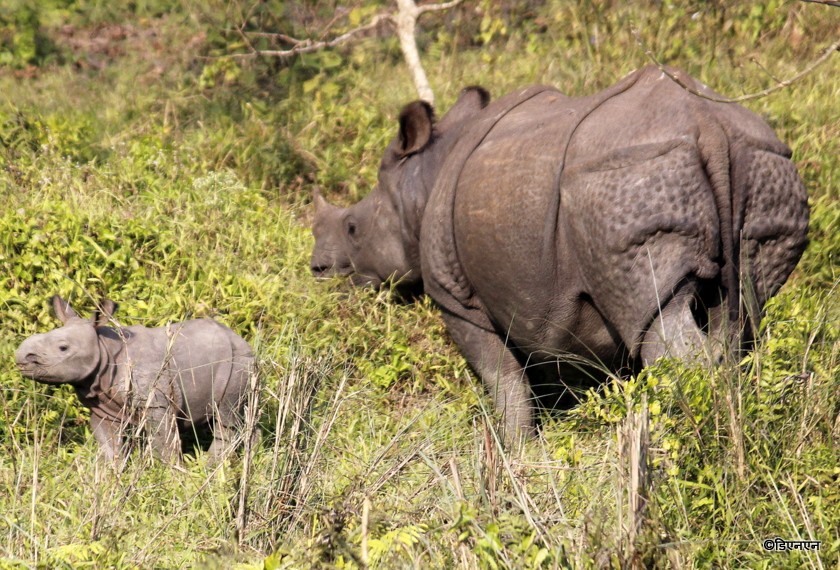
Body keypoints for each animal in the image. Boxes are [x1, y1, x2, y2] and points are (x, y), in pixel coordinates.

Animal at [15, 296, 254, 463]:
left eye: (63, 348)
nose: (21, 357)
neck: (104, 349)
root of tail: (242, 340)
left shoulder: (156, 402)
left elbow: (163, 441)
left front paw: (173, 477)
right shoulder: (102, 407)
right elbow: (109, 445)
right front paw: (112, 477)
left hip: (238, 362)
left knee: (226, 417)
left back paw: (210, 466)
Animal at [311, 65, 809, 438]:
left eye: (353, 229)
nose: (318, 269)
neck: (421, 180)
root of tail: (710, 127)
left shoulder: (456, 299)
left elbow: (505, 382)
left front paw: (515, 455)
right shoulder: (548, 299)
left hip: (630, 176)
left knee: (663, 326)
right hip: (763, 166)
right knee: (740, 315)